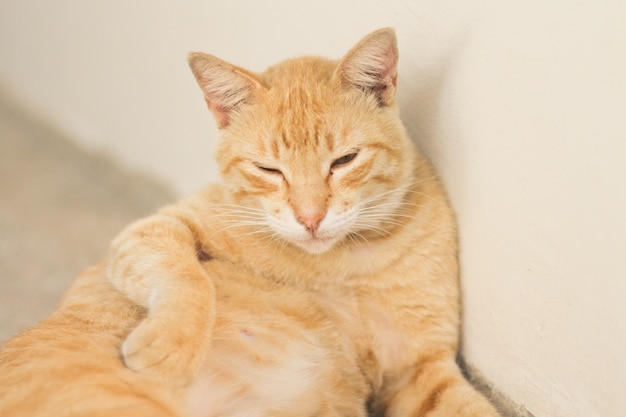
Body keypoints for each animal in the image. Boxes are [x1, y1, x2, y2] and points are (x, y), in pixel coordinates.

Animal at [0, 27, 498, 414]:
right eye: (269, 170)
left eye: (344, 160)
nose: (310, 218)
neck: (339, 266)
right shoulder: (151, 229)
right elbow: (186, 278)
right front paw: (171, 345)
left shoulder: (419, 370)